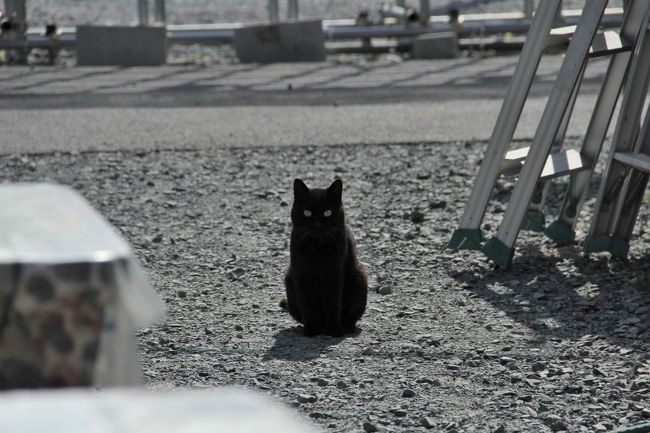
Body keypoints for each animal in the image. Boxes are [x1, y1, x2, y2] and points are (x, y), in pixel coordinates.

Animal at [280, 177, 368, 336]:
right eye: (307, 213)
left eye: (327, 212)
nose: (317, 224)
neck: (317, 247)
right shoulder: (300, 275)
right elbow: (308, 305)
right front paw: (311, 329)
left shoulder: (334, 276)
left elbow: (332, 304)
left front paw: (334, 330)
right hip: (289, 280)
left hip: (360, 278)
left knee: (350, 318)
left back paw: (346, 328)